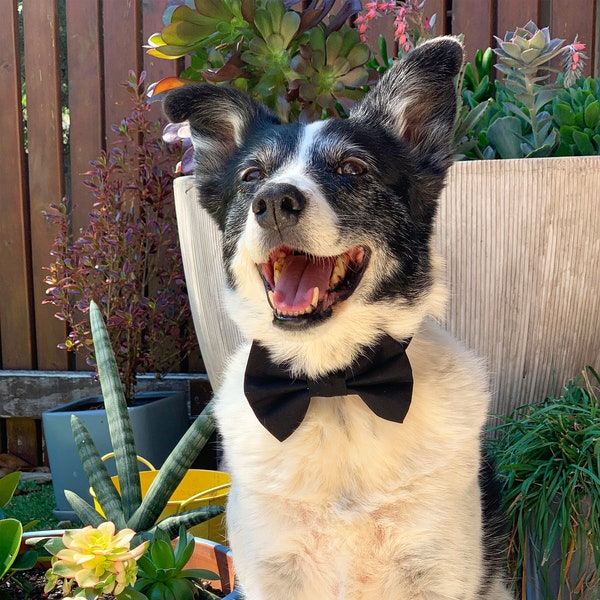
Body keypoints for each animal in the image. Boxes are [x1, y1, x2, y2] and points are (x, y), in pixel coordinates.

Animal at [164, 36, 510, 600]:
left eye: (352, 169)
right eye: (252, 176)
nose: (272, 201)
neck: (333, 387)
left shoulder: (436, 572)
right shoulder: (270, 573)